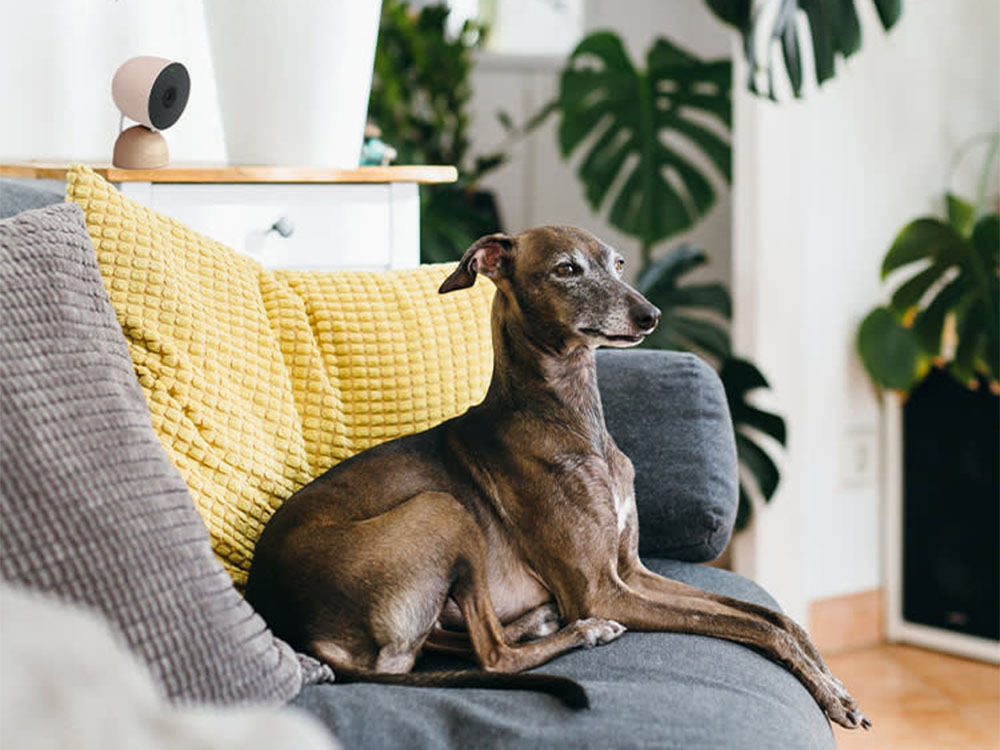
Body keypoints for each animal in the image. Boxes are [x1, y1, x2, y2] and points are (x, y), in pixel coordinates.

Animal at [248, 225, 868, 728]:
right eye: (566, 269)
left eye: (617, 263)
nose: (650, 315)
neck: (571, 420)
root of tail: (297, 626)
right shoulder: (601, 589)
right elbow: (760, 629)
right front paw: (827, 691)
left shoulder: (631, 571)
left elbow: (776, 619)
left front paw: (833, 689)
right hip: (441, 508)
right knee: (492, 656)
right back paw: (580, 630)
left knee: (458, 641)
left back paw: (542, 620)